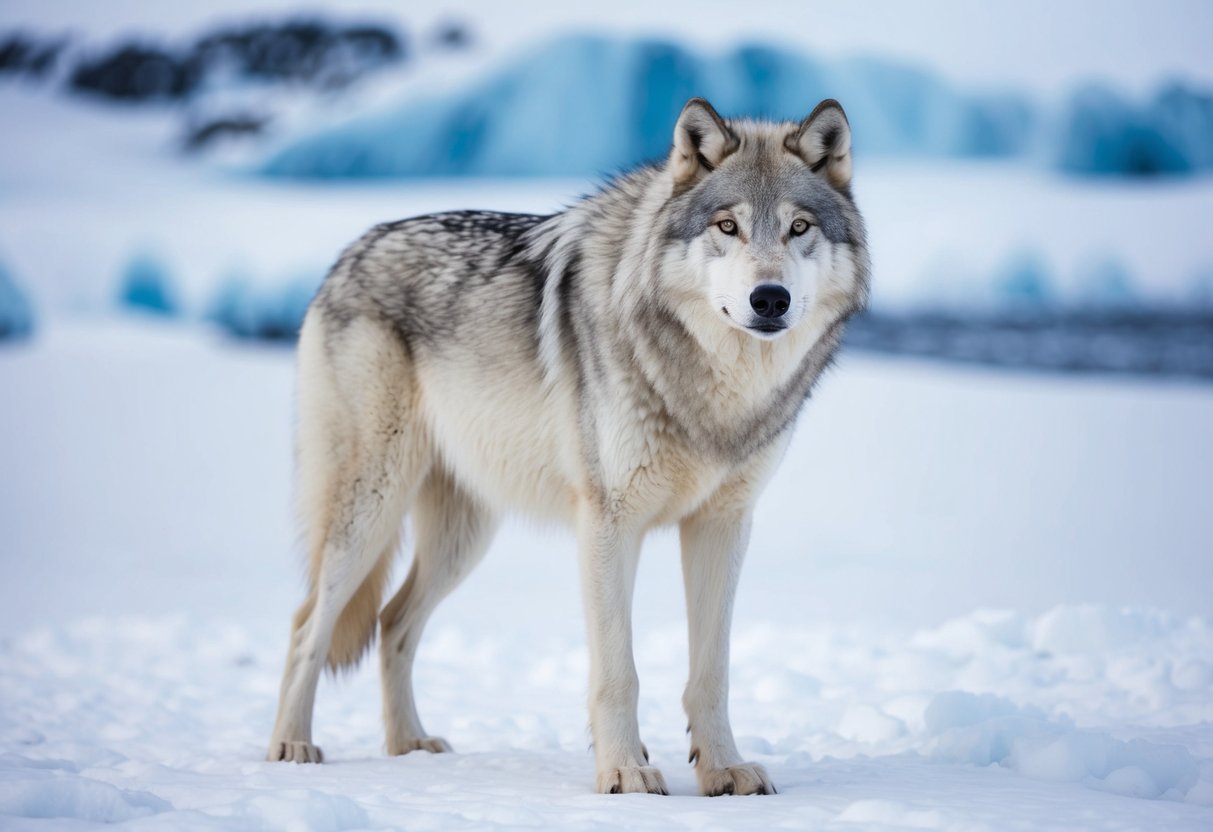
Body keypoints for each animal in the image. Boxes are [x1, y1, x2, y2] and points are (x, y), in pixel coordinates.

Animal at [267, 97, 869, 796]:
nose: (769, 299)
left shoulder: (723, 525)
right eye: (728, 226)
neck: (714, 393)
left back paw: (409, 746)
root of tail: (351, 250)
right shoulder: (609, 524)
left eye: (799, 227)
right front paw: (625, 772)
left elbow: (712, 672)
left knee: (392, 621)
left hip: (463, 538)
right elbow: (618, 671)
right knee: (307, 624)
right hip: (370, 511)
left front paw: (725, 771)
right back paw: (291, 745)